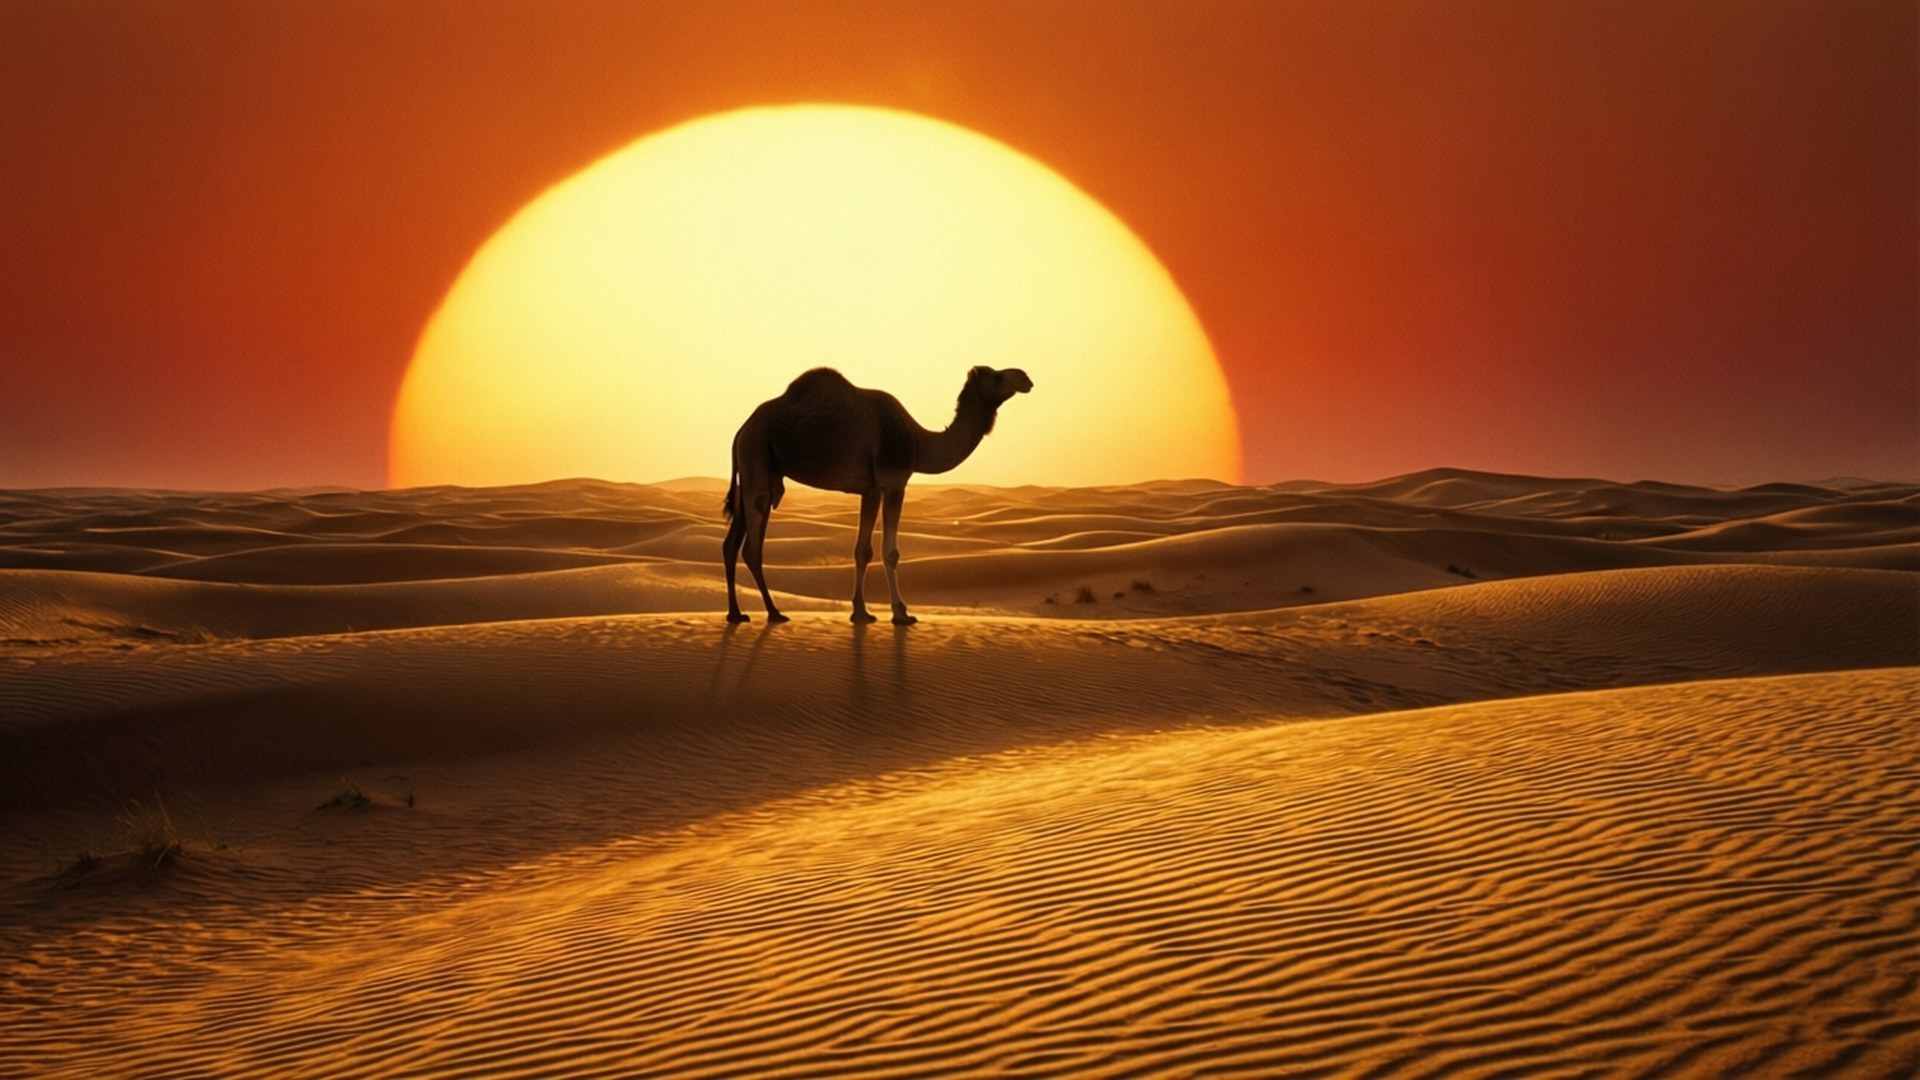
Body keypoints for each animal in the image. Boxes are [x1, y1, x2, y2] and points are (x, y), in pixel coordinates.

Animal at [724, 365, 1033, 625]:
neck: (918, 441)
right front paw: (901, 613)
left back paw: (736, 614)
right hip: (755, 452)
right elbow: (891, 552)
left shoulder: (871, 489)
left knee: (732, 541)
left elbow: (863, 550)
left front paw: (861, 613)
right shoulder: (894, 481)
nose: (1026, 378)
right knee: (752, 545)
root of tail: (740, 430)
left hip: (759, 467)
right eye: (997, 377)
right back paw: (773, 612)